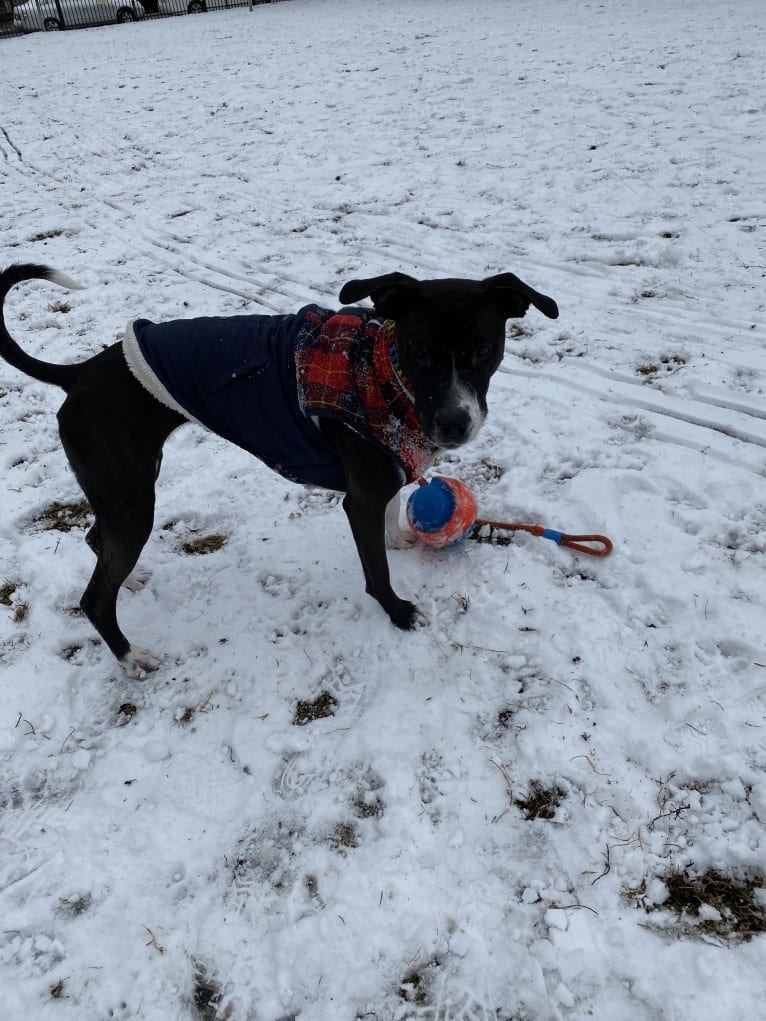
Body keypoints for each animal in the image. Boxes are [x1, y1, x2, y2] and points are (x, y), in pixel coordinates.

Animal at [0, 267, 559, 673]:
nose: (453, 423)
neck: (384, 370)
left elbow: (394, 509)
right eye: (421, 349)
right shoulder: (359, 500)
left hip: (121, 490)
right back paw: (130, 655)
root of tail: (80, 374)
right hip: (132, 498)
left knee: (98, 539)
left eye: (482, 349)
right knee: (95, 597)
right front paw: (399, 613)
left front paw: (400, 537)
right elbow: (376, 571)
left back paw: (132, 580)